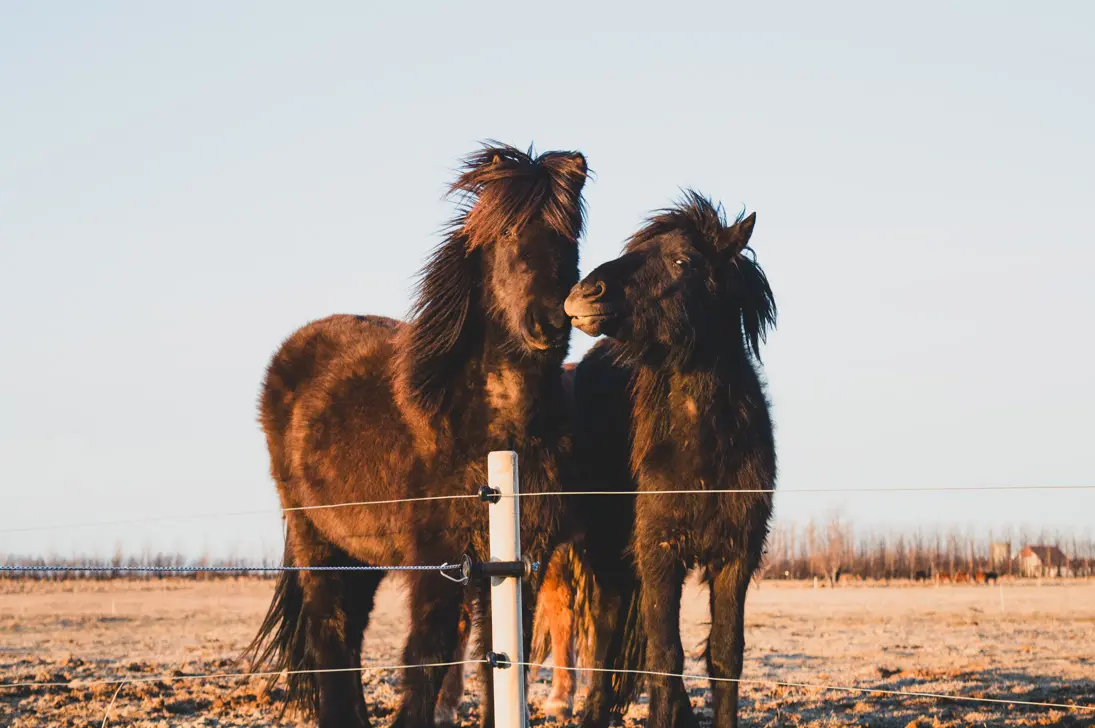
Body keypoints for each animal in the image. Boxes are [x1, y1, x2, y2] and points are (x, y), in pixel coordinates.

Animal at [246, 143, 591, 726]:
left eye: (570, 233)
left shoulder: (522, 559)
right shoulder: (440, 560)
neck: (494, 425)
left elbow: (502, 659)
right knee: (330, 632)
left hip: (360, 553)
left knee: (349, 634)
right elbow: (427, 655)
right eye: (507, 232)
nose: (549, 322)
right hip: (317, 539)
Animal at [565, 192, 779, 726]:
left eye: (684, 260)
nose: (583, 294)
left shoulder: (735, 557)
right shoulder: (659, 552)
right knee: (607, 630)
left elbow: (725, 655)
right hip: (609, 552)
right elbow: (666, 655)